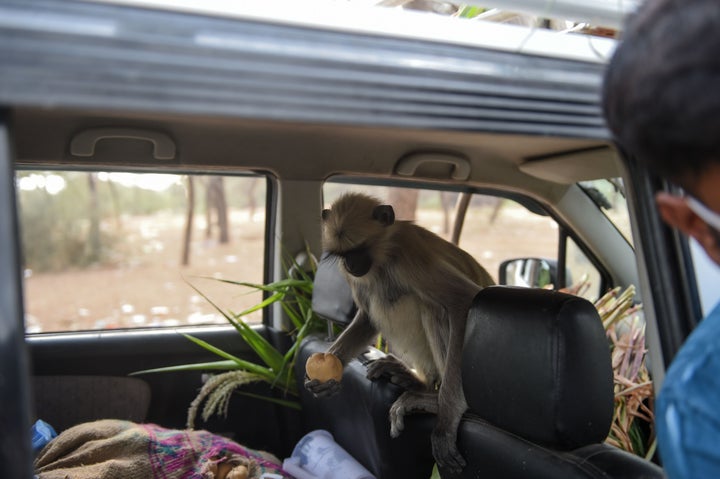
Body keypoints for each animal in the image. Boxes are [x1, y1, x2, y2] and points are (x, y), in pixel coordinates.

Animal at [304, 191, 496, 472]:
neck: (383, 256)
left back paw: (431, 397)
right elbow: (366, 318)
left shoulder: (408, 253)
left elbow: (463, 302)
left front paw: (446, 421)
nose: (350, 265)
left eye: (359, 250)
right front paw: (329, 374)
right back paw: (416, 380)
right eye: (344, 254)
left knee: (433, 306)